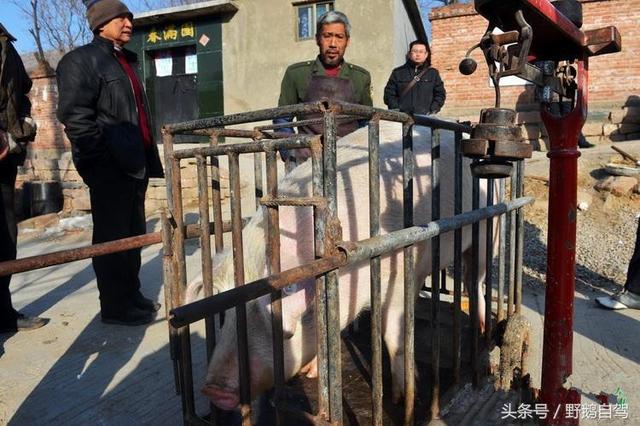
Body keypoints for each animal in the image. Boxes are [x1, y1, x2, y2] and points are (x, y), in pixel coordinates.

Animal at [185, 120, 496, 410]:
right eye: (227, 313)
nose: (213, 390)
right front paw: (311, 373)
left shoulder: (395, 277)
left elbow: (394, 335)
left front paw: (401, 398)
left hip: (486, 232)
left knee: (475, 280)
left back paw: (482, 327)